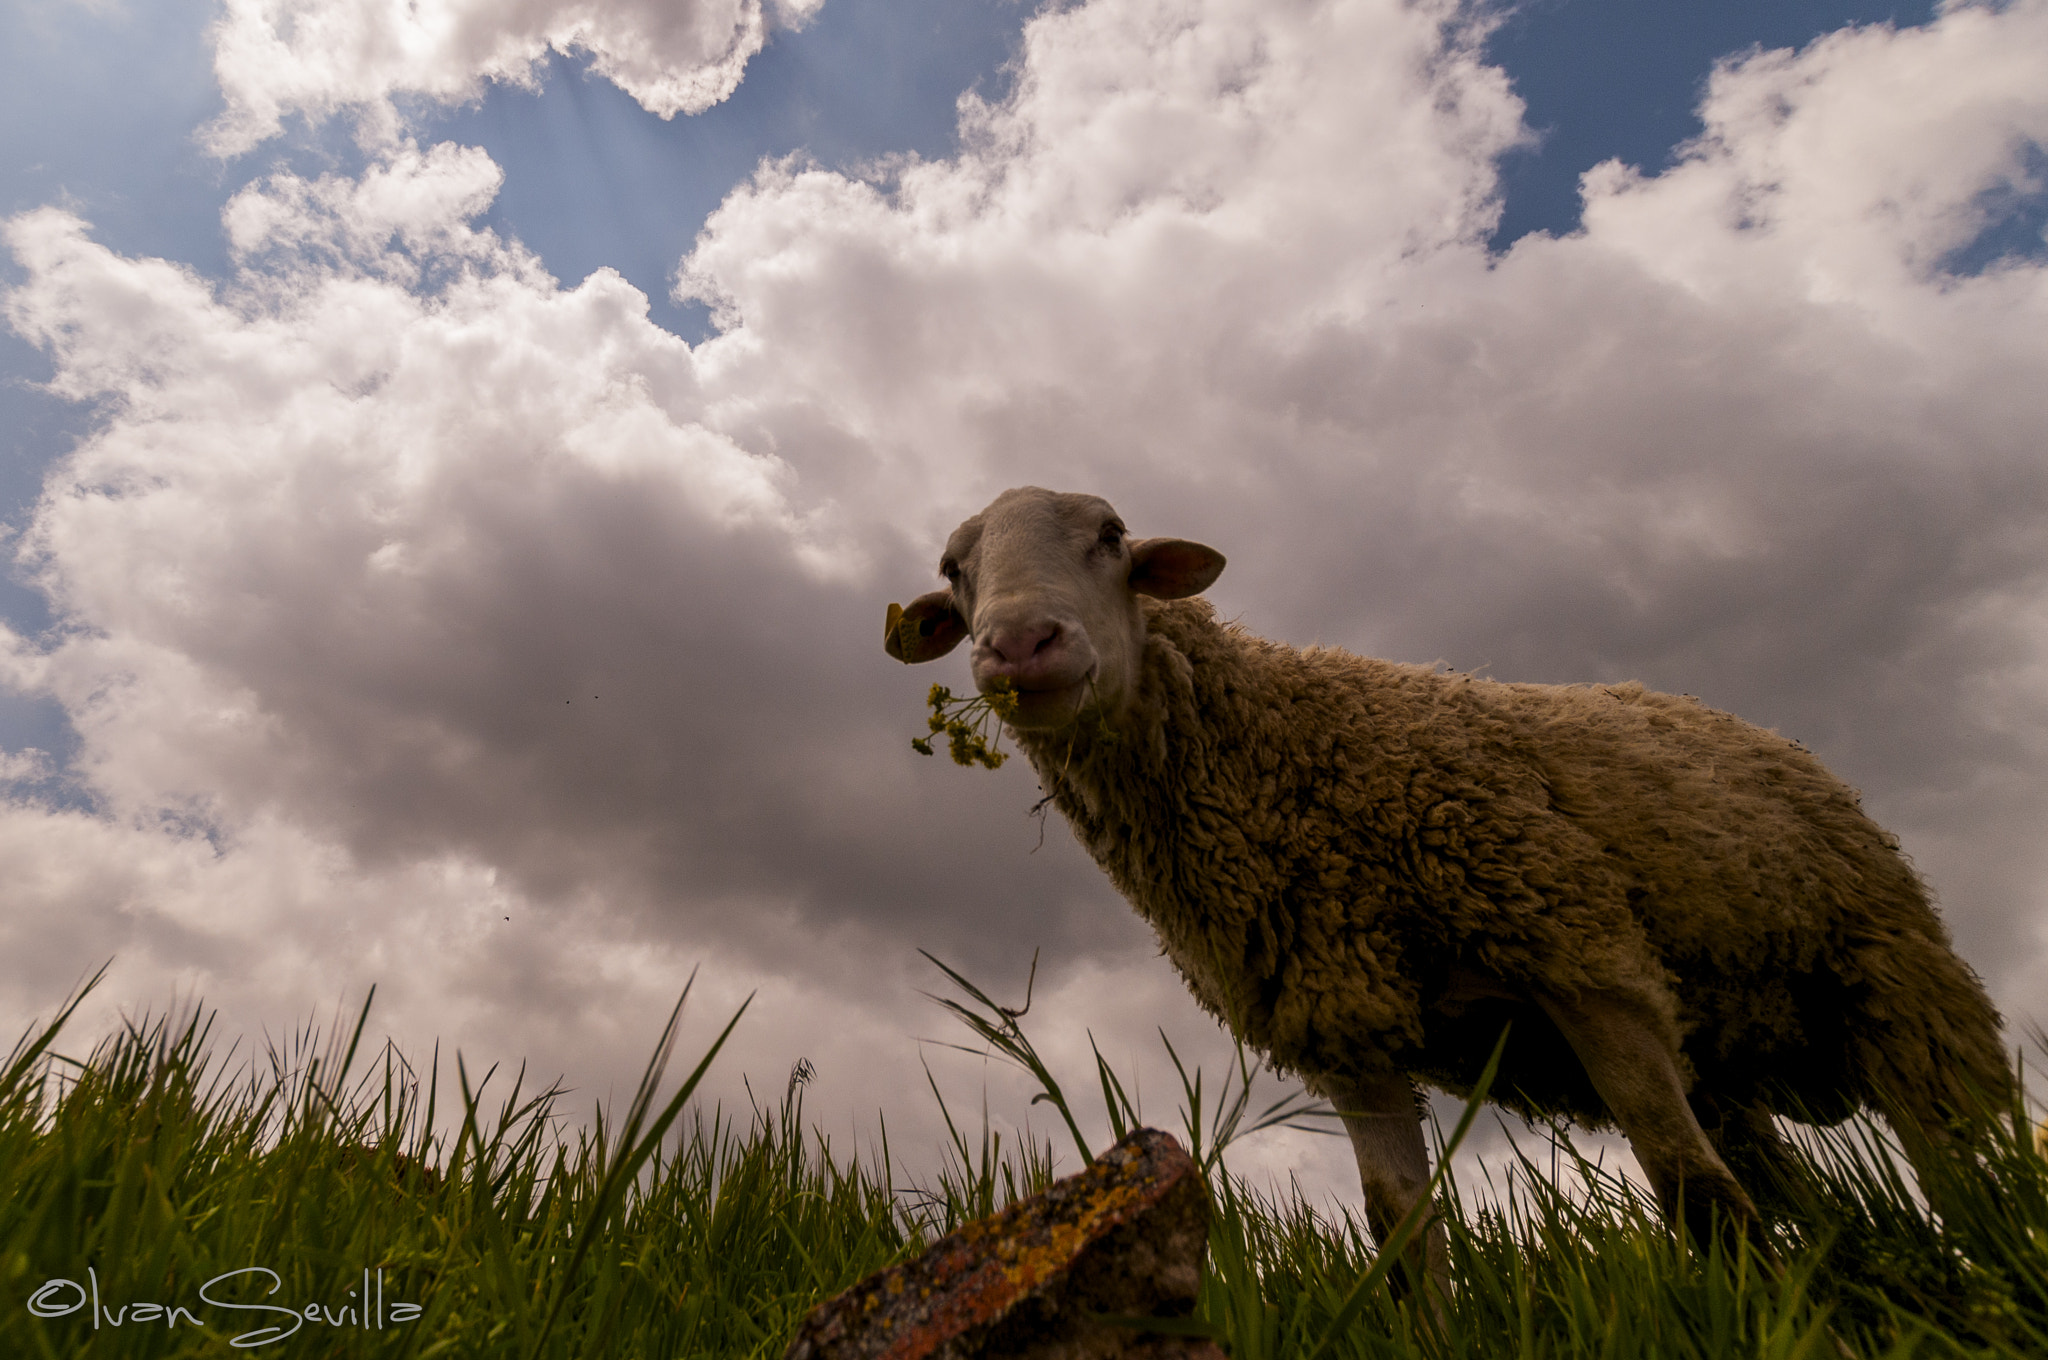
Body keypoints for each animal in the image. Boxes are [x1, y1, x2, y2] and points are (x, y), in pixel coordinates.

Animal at [884, 483, 2015, 1294]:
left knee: (1963, 1163)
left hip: (1894, 983)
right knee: (1802, 1189)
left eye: (1112, 533)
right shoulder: (1346, 1028)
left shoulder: (1583, 958)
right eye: (953, 569)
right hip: (1733, 1058)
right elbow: (1401, 1238)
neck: (1286, 757)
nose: (1020, 646)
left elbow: (1692, 1193)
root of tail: (1729, 718)